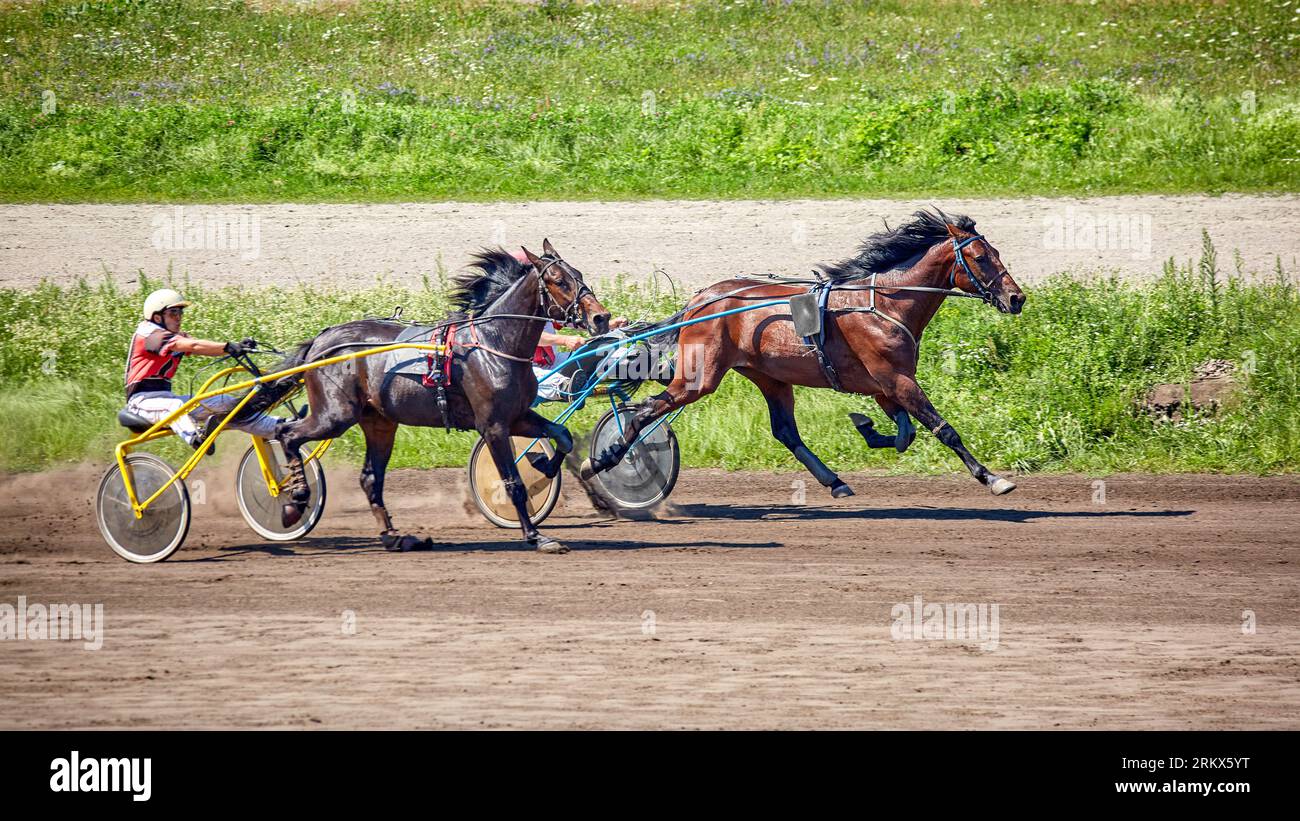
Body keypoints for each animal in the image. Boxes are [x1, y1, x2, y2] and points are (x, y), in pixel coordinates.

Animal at [260, 240, 613, 555]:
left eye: (578, 274)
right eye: (559, 281)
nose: (601, 318)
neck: (494, 342)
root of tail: (321, 340)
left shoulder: (518, 417)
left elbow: (562, 435)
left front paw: (545, 464)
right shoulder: (493, 426)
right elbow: (513, 482)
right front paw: (536, 537)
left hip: (379, 423)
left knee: (370, 478)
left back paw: (394, 538)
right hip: (334, 415)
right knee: (287, 433)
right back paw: (295, 501)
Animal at [587, 207, 1024, 496]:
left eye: (997, 253)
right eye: (981, 257)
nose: (1016, 298)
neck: (885, 303)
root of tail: (700, 300)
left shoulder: (884, 386)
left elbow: (906, 433)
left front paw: (866, 428)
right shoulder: (897, 379)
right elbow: (943, 429)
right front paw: (993, 478)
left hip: (770, 376)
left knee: (785, 431)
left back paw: (836, 482)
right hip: (700, 376)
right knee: (647, 409)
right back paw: (607, 457)